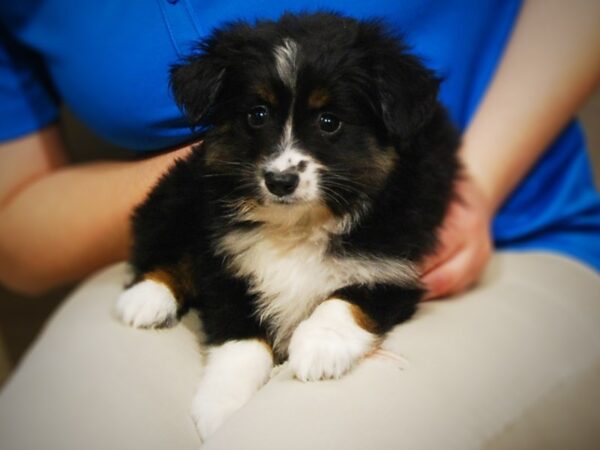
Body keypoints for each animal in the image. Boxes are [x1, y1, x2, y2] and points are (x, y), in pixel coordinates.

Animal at [116, 11, 460, 440]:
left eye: (329, 122)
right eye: (257, 114)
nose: (280, 181)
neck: (298, 223)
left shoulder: (394, 266)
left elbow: (345, 299)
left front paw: (319, 348)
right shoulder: (225, 261)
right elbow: (240, 337)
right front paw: (222, 405)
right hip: (179, 187)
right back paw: (146, 298)